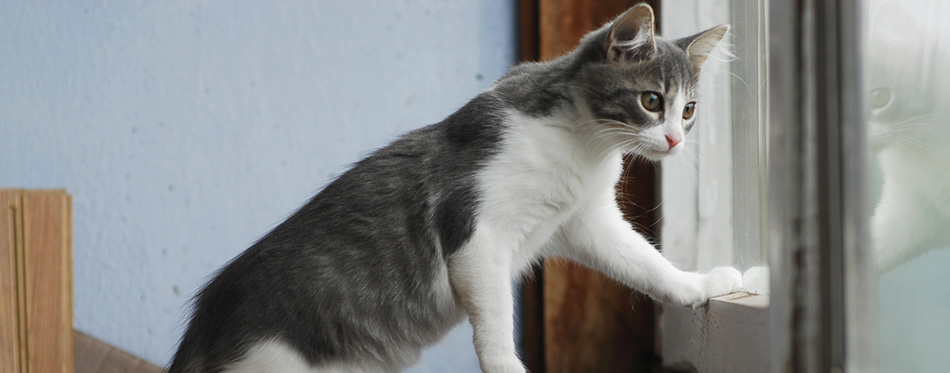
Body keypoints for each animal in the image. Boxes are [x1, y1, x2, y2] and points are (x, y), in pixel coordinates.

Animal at [171, 4, 740, 370]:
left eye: (689, 109)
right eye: (651, 101)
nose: (674, 140)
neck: (583, 147)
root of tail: (206, 320)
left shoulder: (588, 220)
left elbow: (647, 266)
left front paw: (700, 284)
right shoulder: (473, 228)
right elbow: (494, 319)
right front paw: (507, 366)